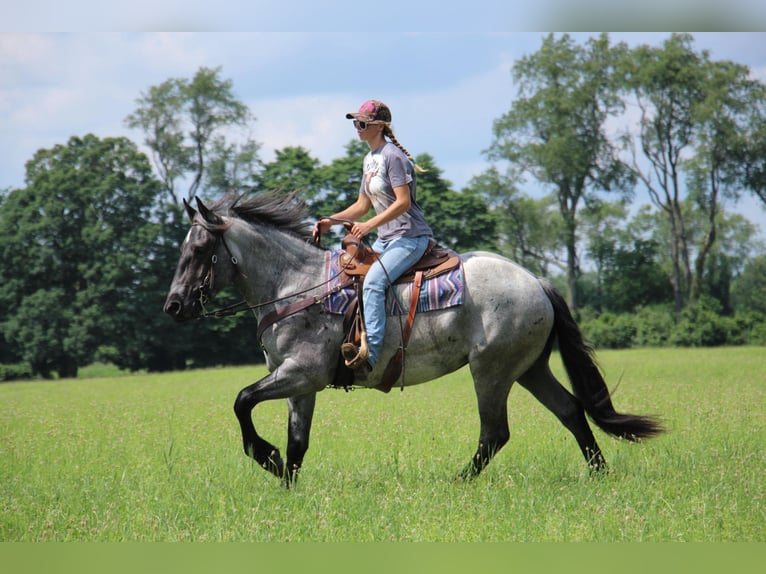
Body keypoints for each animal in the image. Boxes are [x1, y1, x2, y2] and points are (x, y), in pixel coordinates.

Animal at [165, 192, 664, 486]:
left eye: (201, 249)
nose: (173, 306)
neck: (297, 285)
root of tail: (537, 282)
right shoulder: (298, 384)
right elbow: (296, 442)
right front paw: (286, 482)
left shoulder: (302, 373)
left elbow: (242, 400)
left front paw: (263, 456)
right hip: (529, 369)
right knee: (571, 411)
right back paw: (600, 475)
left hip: (492, 371)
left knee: (495, 433)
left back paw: (459, 482)